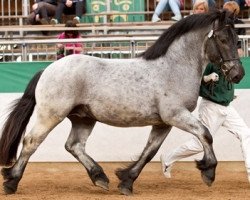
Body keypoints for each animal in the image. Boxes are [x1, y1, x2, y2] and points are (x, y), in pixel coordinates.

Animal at [0, 9, 245, 195]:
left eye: (236, 39)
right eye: (223, 39)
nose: (238, 74)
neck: (173, 67)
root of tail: (47, 69)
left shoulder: (163, 123)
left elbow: (149, 151)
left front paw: (126, 180)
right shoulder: (176, 115)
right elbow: (206, 134)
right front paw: (208, 171)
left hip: (83, 118)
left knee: (74, 145)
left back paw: (100, 177)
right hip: (51, 115)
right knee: (31, 142)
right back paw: (11, 181)